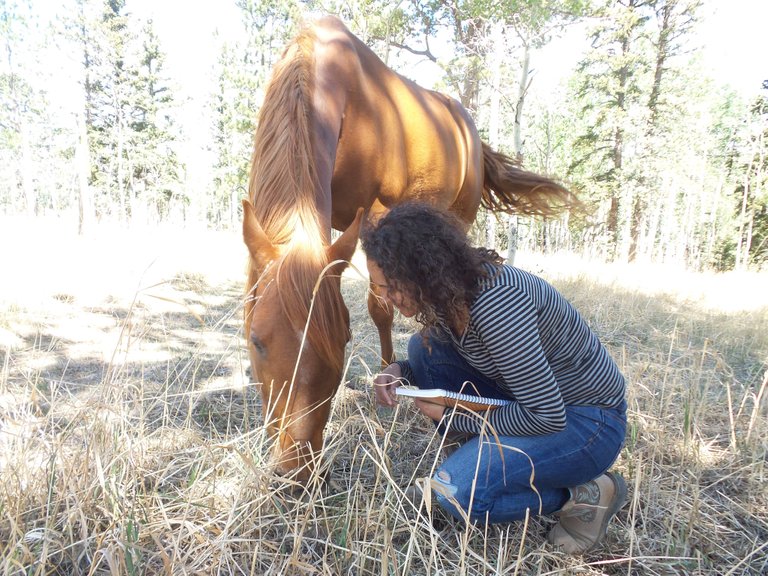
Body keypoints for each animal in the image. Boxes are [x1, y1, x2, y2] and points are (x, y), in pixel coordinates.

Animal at [243, 15, 572, 480]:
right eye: (256, 340)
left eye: (344, 339)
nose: (297, 470)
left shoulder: (376, 214)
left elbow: (380, 305)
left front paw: (389, 381)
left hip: (457, 214)